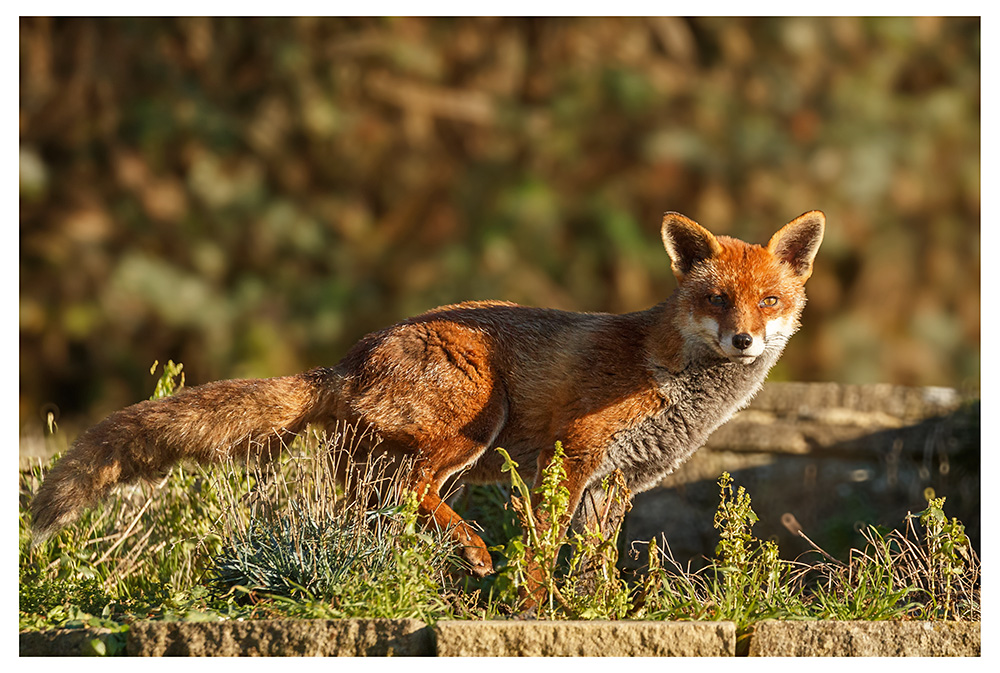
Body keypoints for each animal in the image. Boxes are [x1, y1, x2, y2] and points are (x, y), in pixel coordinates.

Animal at [31, 210, 824, 598]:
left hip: (401, 465)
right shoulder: (571, 458)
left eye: (769, 300)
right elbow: (542, 551)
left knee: (375, 515)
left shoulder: (617, 483)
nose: (744, 340)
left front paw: (600, 611)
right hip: (474, 428)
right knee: (417, 494)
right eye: (715, 299)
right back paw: (470, 552)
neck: (669, 377)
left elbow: (594, 562)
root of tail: (354, 354)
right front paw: (534, 608)